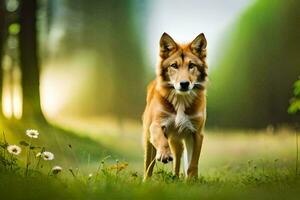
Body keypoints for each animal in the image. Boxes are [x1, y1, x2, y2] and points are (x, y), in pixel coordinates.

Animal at [142, 32, 207, 180]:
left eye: (191, 65)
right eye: (174, 65)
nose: (184, 84)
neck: (180, 101)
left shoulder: (196, 133)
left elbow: (192, 164)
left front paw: (192, 181)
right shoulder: (156, 124)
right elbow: (161, 139)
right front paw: (164, 154)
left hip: (178, 143)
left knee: (177, 162)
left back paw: (175, 179)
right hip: (149, 140)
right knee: (148, 166)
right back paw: (146, 181)